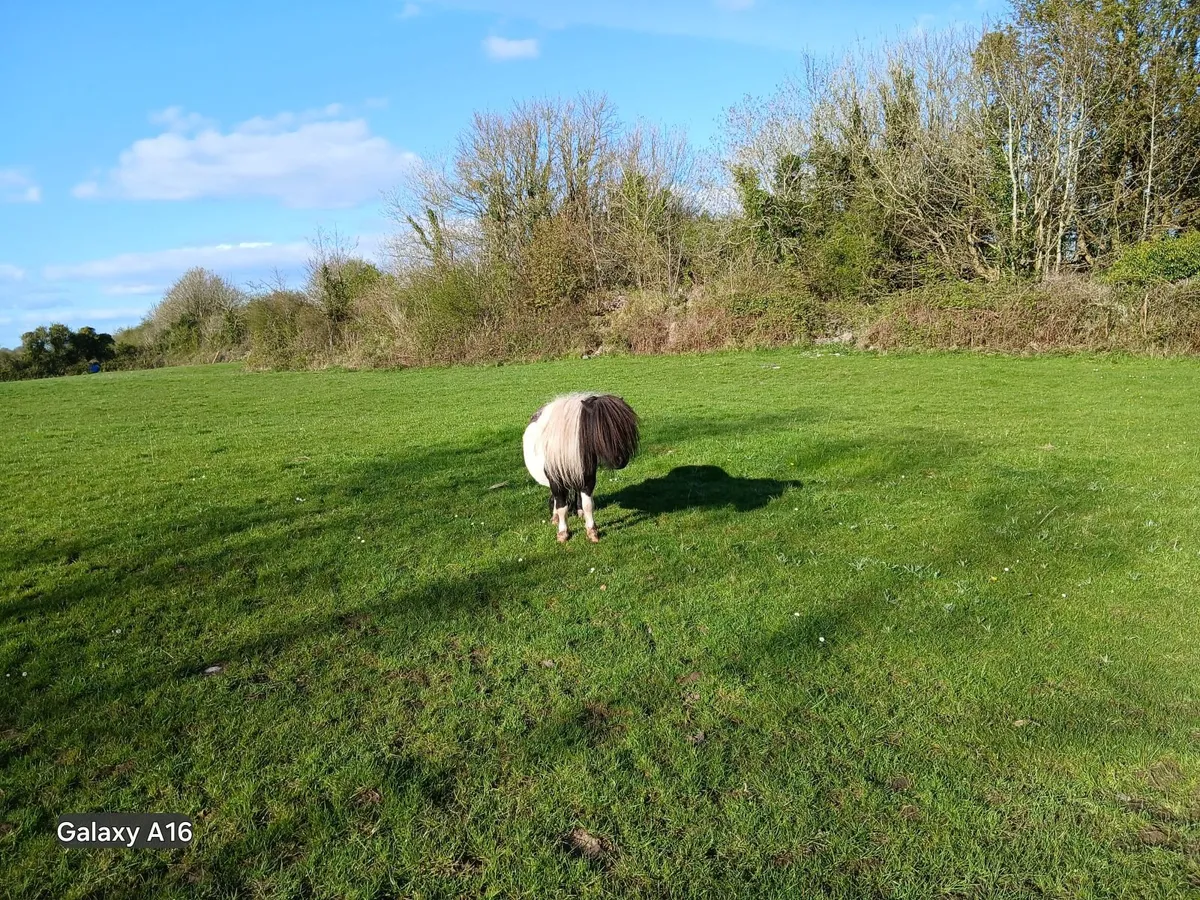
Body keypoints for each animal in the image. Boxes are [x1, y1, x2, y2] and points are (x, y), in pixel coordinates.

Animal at [523, 393, 640, 543]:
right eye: (601, 427)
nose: (621, 460)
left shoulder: (588, 480)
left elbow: (588, 504)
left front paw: (592, 531)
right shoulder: (556, 481)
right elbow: (561, 507)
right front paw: (563, 533)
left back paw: (580, 513)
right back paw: (555, 517)